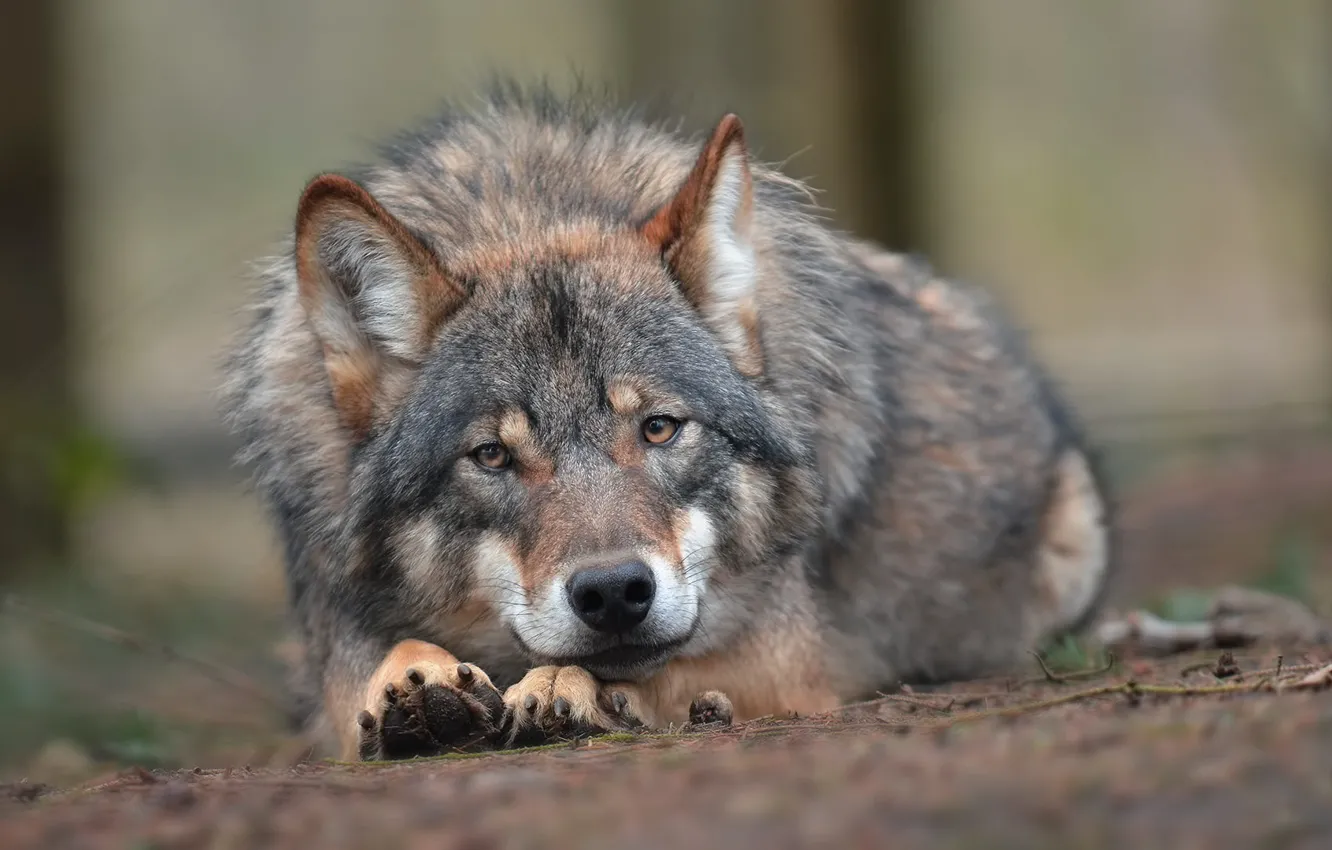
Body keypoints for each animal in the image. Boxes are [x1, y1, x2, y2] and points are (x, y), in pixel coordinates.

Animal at [223, 84, 1113, 761]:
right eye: (491, 457)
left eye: (658, 428)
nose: (615, 592)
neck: (527, 209)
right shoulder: (334, 658)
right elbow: (382, 668)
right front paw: (417, 688)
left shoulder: (785, 659)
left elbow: (657, 672)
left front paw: (569, 687)